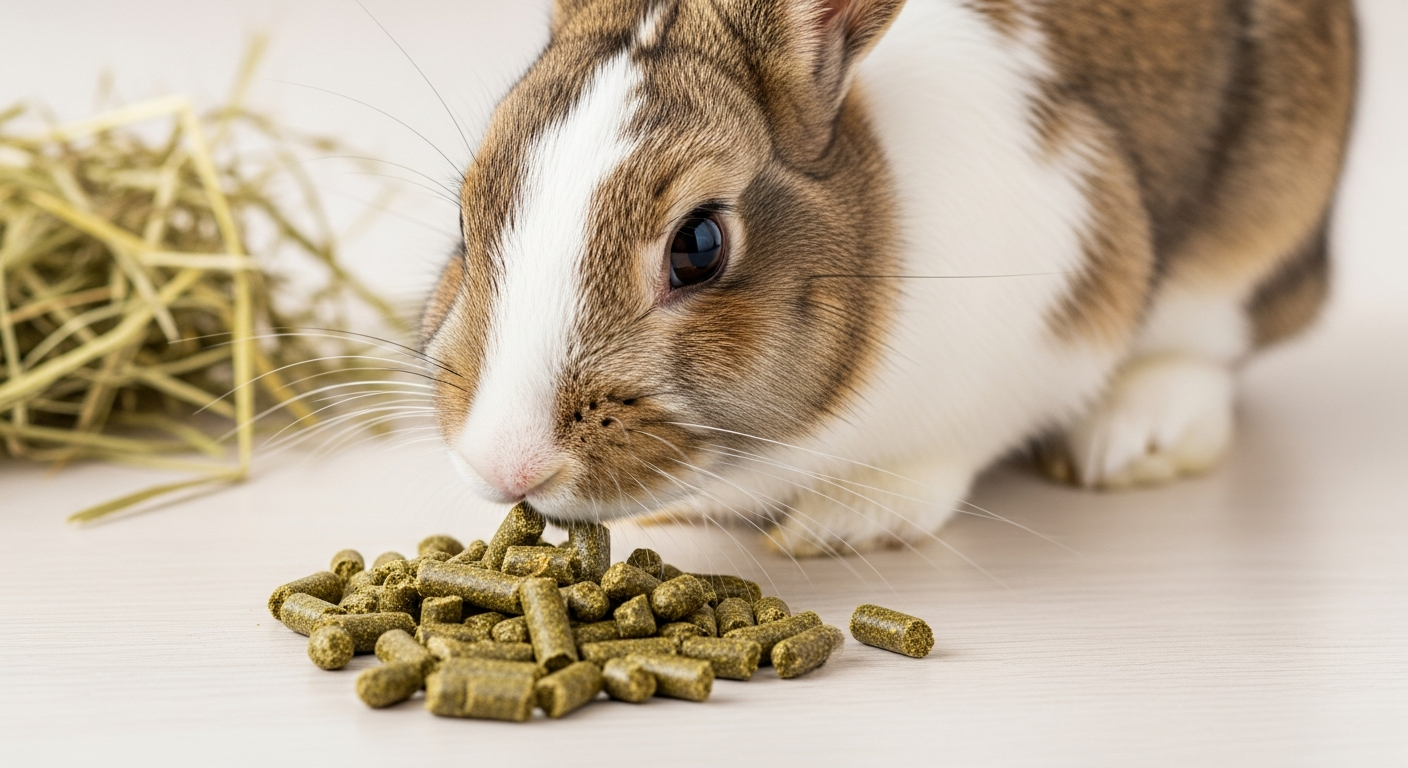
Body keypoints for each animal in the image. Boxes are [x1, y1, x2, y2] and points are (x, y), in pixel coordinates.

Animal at [420, 0, 1357, 556]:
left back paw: (1135, 438)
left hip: (1251, 242)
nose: (507, 464)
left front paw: (842, 524)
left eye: (699, 245)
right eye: (465, 213)